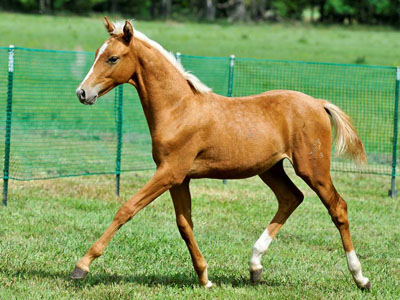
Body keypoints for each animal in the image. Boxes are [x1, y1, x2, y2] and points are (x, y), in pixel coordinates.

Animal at [70, 17, 370, 290]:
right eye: (97, 54)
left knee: (337, 207)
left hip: (312, 168)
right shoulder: (180, 179)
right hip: (270, 169)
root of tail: (318, 103)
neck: (179, 109)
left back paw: (360, 278)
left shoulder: (170, 172)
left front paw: (81, 267)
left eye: (112, 58)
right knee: (291, 198)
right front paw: (204, 278)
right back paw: (255, 266)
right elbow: (184, 224)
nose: (82, 93)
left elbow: (127, 209)